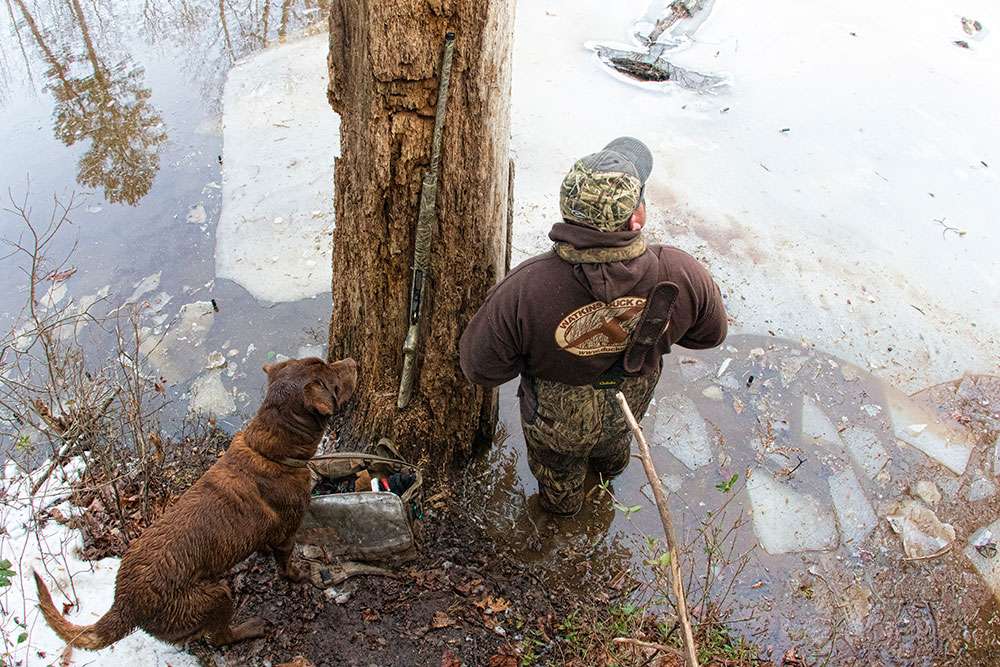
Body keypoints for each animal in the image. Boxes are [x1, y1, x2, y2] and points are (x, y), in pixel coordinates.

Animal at [33, 358, 358, 648]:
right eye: (332, 377)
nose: (353, 361)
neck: (271, 452)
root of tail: (125, 605)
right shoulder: (288, 532)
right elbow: (285, 563)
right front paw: (298, 575)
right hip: (215, 597)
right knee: (219, 637)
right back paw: (250, 628)